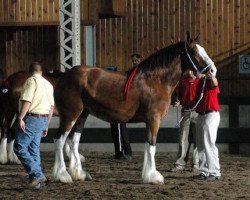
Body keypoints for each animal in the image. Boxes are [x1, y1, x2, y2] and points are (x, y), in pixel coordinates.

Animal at [52, 33, 215, 184]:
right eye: (195, 52)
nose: (212, 70)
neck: (155, 80)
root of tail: (64, 76)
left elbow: (149, 145)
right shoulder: (153, 119)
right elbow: (151, 145)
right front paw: (153, 176)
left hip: (82, 115)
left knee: (73, 142)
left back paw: (80, 174)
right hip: (70, 115)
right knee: (59, 140)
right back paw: (63, 175)